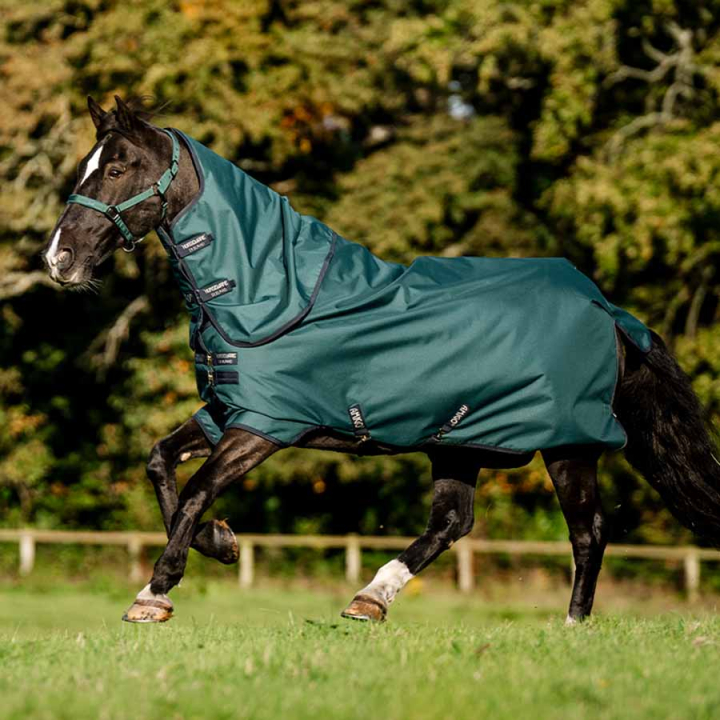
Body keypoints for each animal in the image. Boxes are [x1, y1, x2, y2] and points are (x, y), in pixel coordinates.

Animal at [43, 96, 720, 625]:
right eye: (87, 166)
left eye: (118, 167)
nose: (58, 258)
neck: (268, 291)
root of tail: (607, 311)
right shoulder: (225, 411)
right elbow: (160, 464)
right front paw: (223, 544)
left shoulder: (264, 426)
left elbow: (194, 491)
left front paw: (154, 592)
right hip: (461, 441)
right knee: (453, 522)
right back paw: (372, 597)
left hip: (567, 443)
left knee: (588, 531)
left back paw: (571, 626)